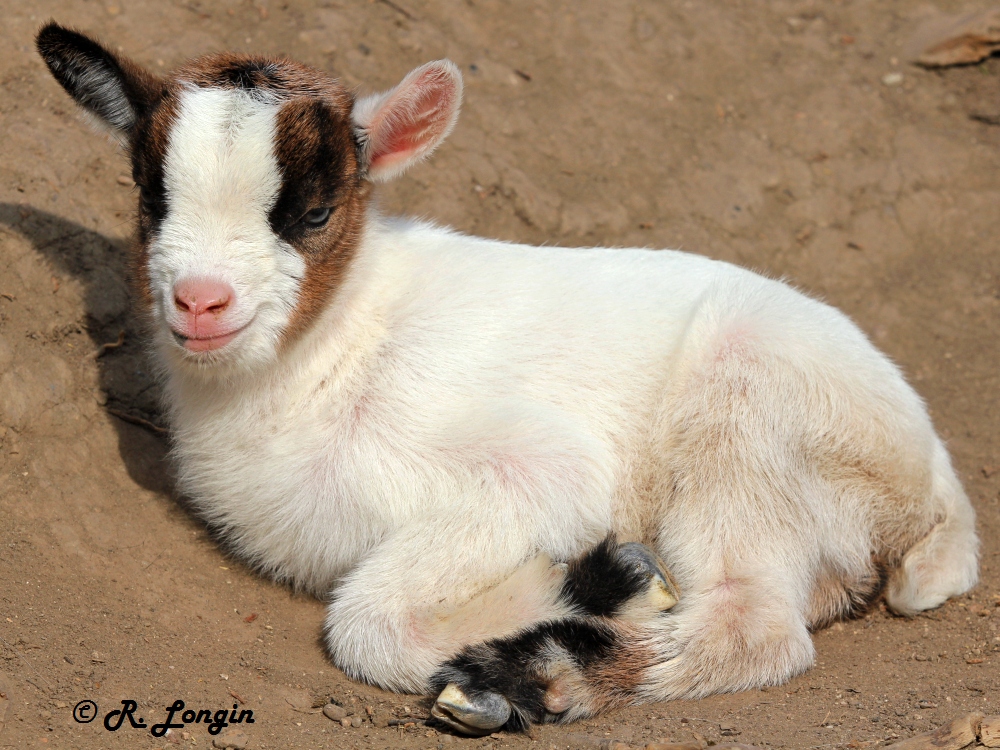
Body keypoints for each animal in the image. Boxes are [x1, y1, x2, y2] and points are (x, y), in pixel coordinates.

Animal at [39, 23, 976, 740]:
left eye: (313, 213)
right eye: (148, 198)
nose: (200, 302)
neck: (333, 351)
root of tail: (937, 496)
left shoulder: (539, 466)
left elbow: (366, 622)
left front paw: (594, 593)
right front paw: (601, 584)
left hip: (750, 425)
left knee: (757, 626)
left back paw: (541, 674)